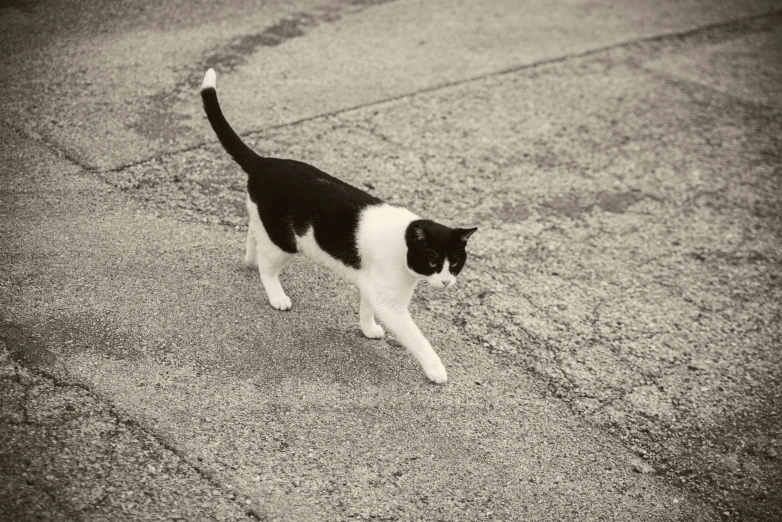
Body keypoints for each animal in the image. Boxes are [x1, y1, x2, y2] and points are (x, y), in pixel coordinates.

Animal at [201, 68, 478, 382]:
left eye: (454, 264)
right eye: (432, 262)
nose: (446, 281)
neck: (402, 244)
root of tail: (264, 162)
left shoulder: (373, 285)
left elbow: (367, 307)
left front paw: (368, 328)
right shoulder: (391, 304)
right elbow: (417, 337)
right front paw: (436, 368)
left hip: (267, 224)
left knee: (253, 229)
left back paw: (248, 258)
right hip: (283, 242)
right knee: (266, 265)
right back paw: (276, 294)